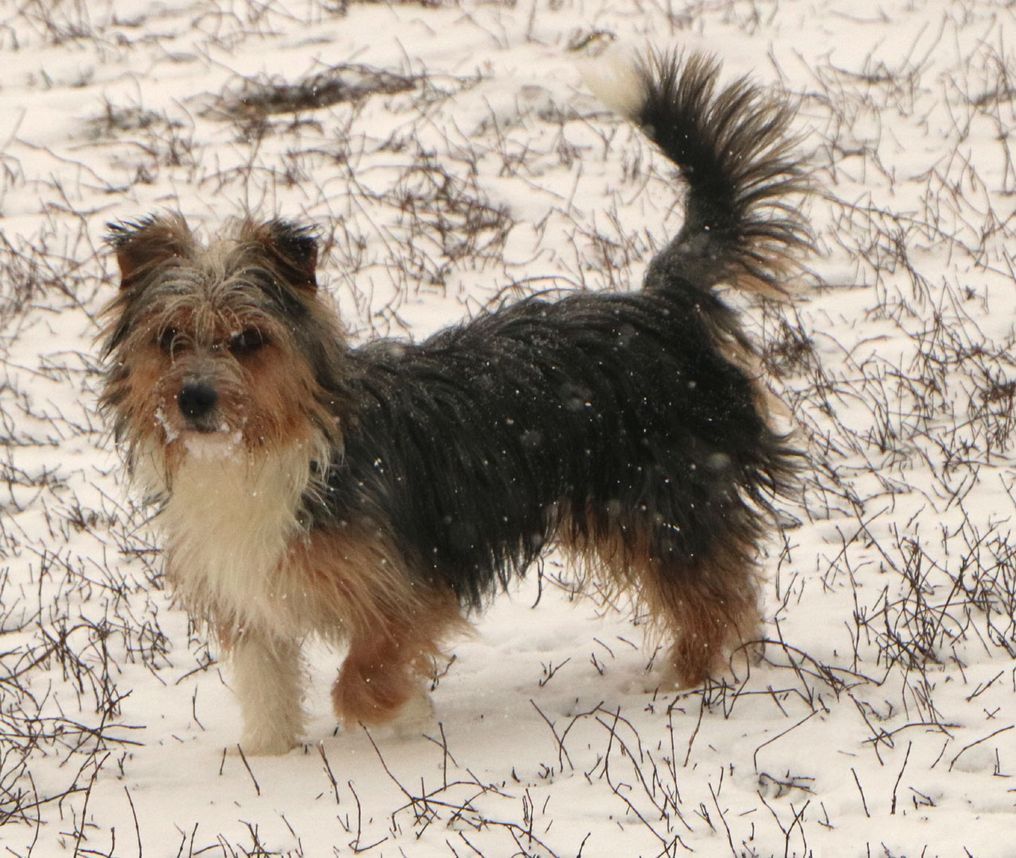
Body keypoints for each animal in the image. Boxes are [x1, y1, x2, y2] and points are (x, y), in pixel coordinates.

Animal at [100, 51, 809, 755]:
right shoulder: (251, 599)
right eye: (169, 338)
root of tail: (659, 302)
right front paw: (270, 761)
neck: (257, 454)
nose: (193, 399)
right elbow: (268, 688)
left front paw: (404, 713)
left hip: (664, 500)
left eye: (249, 340)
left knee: (709, 595)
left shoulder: (404, 582)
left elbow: (360, 679)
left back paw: (685, 681)